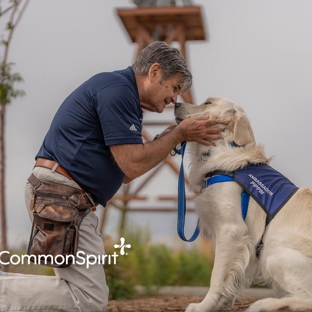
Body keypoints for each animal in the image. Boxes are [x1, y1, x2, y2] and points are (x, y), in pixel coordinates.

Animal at [174, 97, 312, 312]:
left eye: (207, 102)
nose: (175, 104)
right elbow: (231, 274)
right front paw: (223, 302)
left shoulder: (230, 229)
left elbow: (216, 276)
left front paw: (204, 305)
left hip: (274, 252)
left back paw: (265, 304)